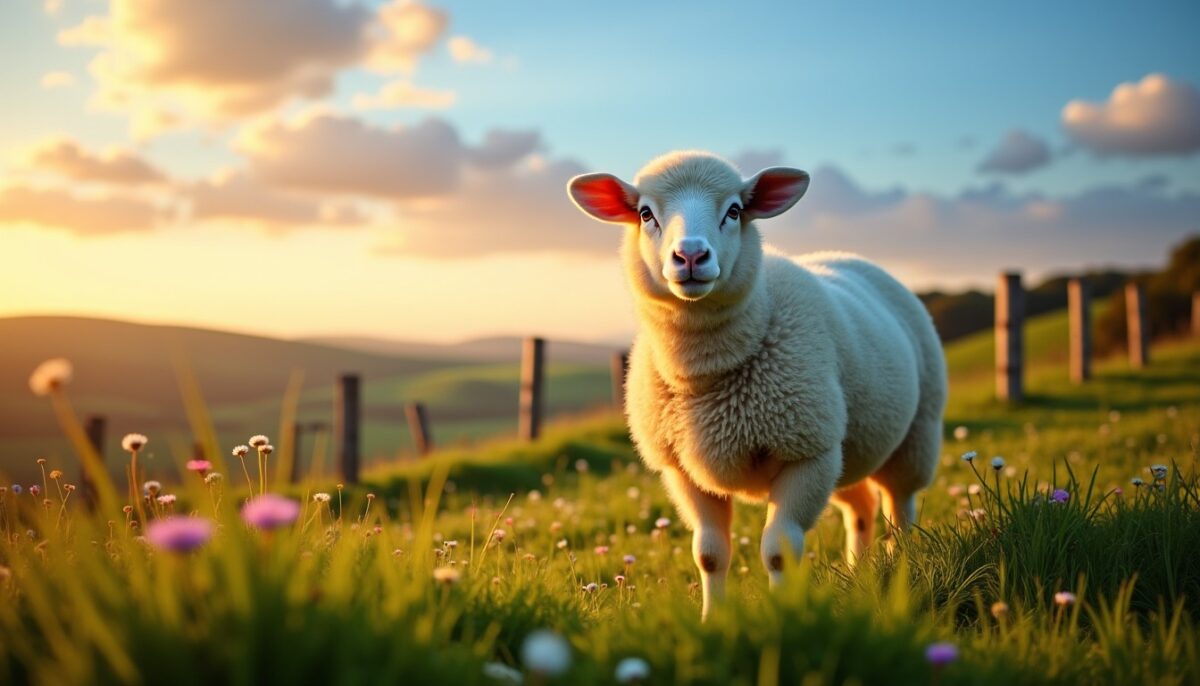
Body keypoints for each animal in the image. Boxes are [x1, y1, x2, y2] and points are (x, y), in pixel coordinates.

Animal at [566, 151, 947, 619]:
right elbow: (709, 554)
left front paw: (785, 616)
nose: (690, 255)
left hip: (915, 435)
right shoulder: (683, 472)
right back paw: (858, 574)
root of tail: (850, 256)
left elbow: (779, 551)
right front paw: (712, 619)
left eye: (734, 211)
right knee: (861, 510)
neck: (706, 375)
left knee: (900, 510)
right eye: (645, 214)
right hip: (849, 452)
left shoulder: (807, 452)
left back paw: (898, 571)